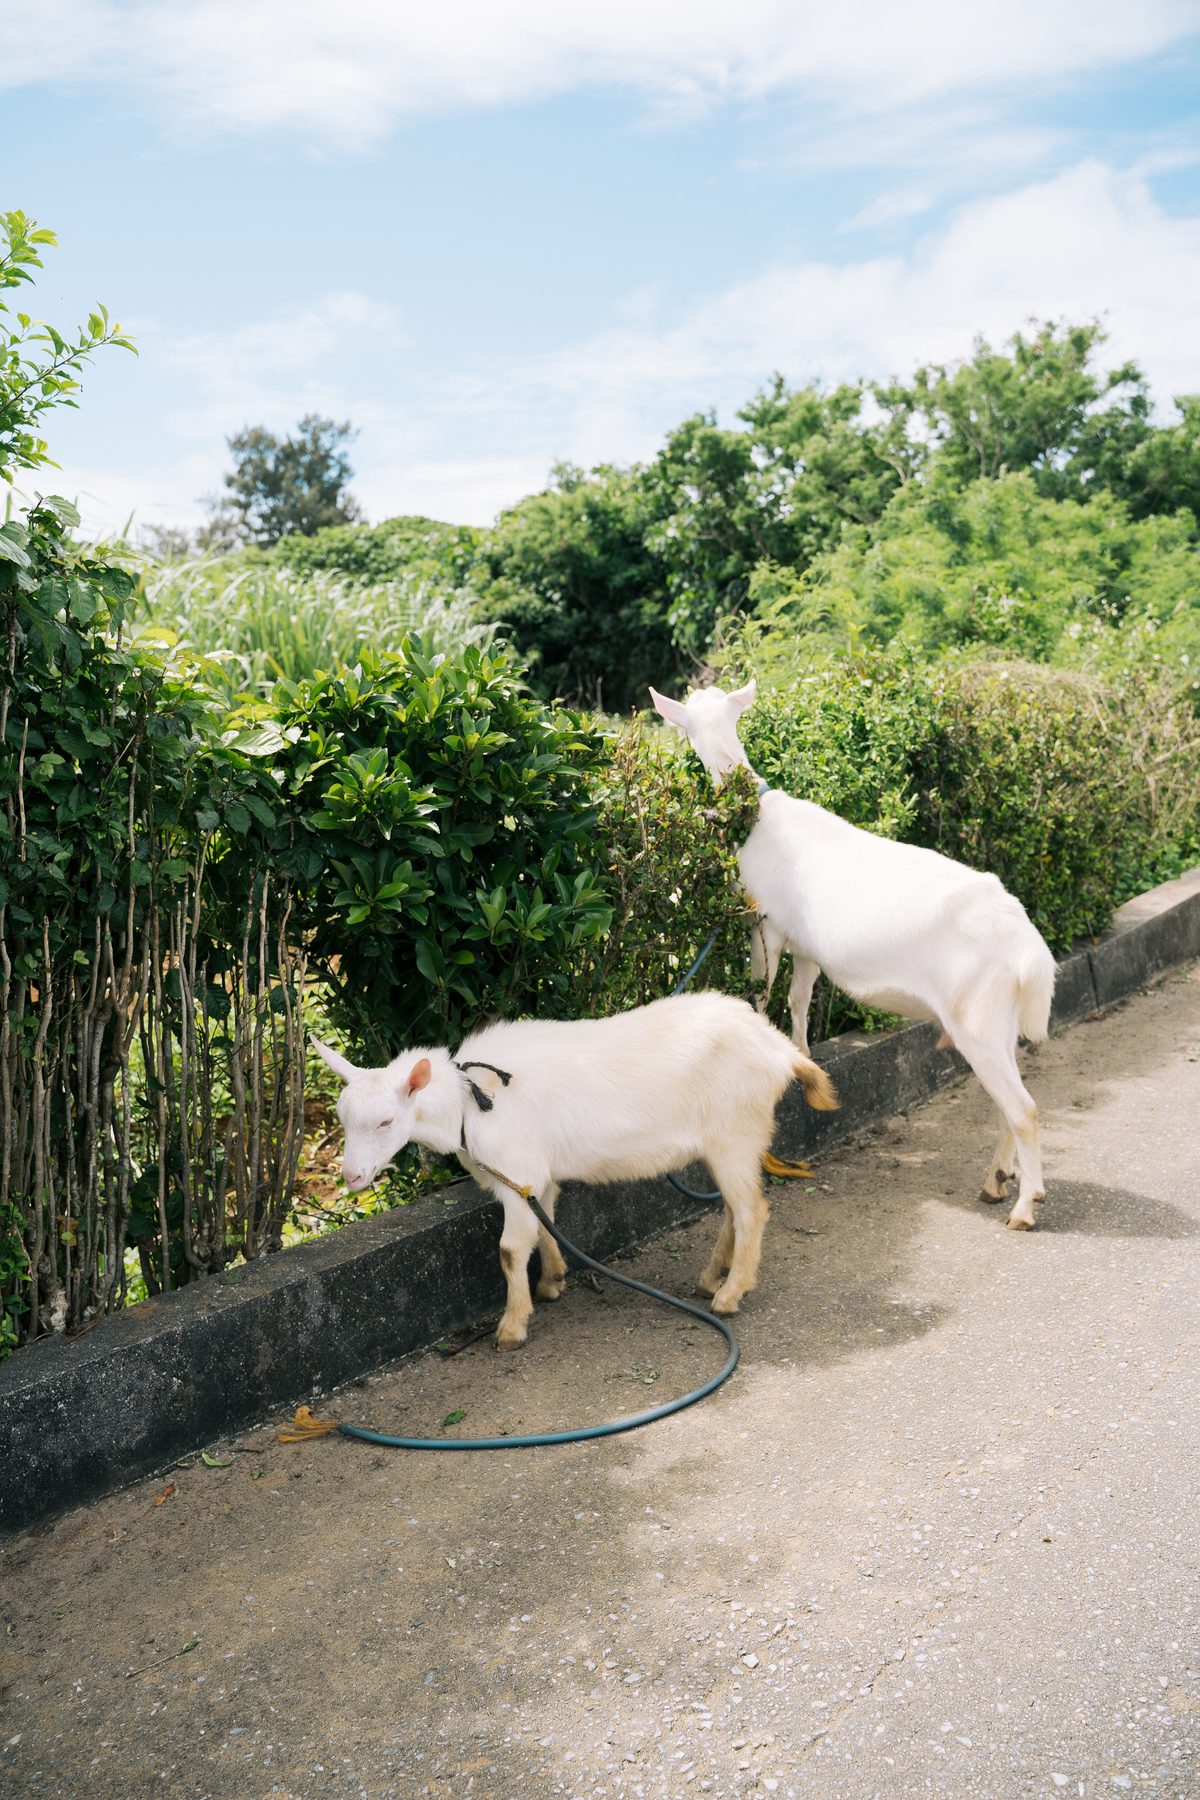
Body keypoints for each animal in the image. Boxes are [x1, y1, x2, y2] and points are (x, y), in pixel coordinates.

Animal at [309, 1000, 834, 1353]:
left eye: (385, 1122)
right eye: (341, 1117)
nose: (352, 1177)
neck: (469, 1101)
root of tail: (781, 1049)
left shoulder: (514, 1167)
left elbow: (509, 1249)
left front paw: (512, 1326)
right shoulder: (534, 1176)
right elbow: (545, 1223)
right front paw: (552, 1281)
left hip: (734, 1131)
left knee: (752, 1209)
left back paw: (729, 1294)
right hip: (731, 1141)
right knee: (734, 1206)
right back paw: (710, 1278)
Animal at [651, 680, 1057, 1231]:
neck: (754, 814)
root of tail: (1031, 953)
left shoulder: (765, 923)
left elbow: (762, 991)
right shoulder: (807, 946)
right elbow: (800, 1000)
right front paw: (802, 1055)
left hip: (978, 1014)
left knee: (1024, 1110)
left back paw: (1024, 1207)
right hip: (1000, 1020)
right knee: (1005, 1104)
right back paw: (995, 1183)